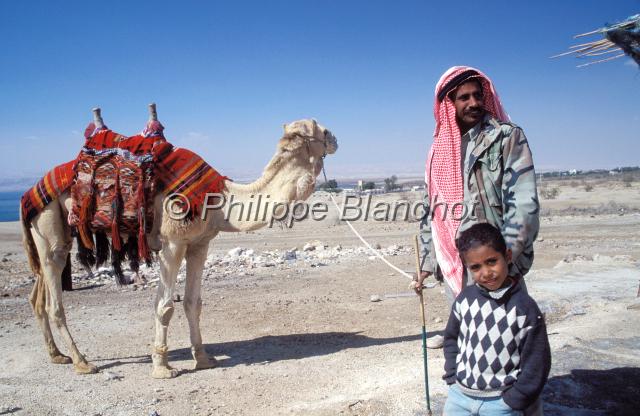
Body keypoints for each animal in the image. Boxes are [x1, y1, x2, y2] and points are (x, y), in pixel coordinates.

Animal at [22, 113, 338, 376]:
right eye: (322, 129)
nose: (335, 138)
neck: (221, 201)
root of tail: (28, 192)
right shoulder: (172, 243)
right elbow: (164, 306)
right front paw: (162, 366)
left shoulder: (199, 244)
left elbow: (192, 303)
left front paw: (204, 358)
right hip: (48, 223)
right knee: (53, 300)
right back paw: (82, 362)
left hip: (54, 232)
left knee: (37, 295)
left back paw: (57, 355)